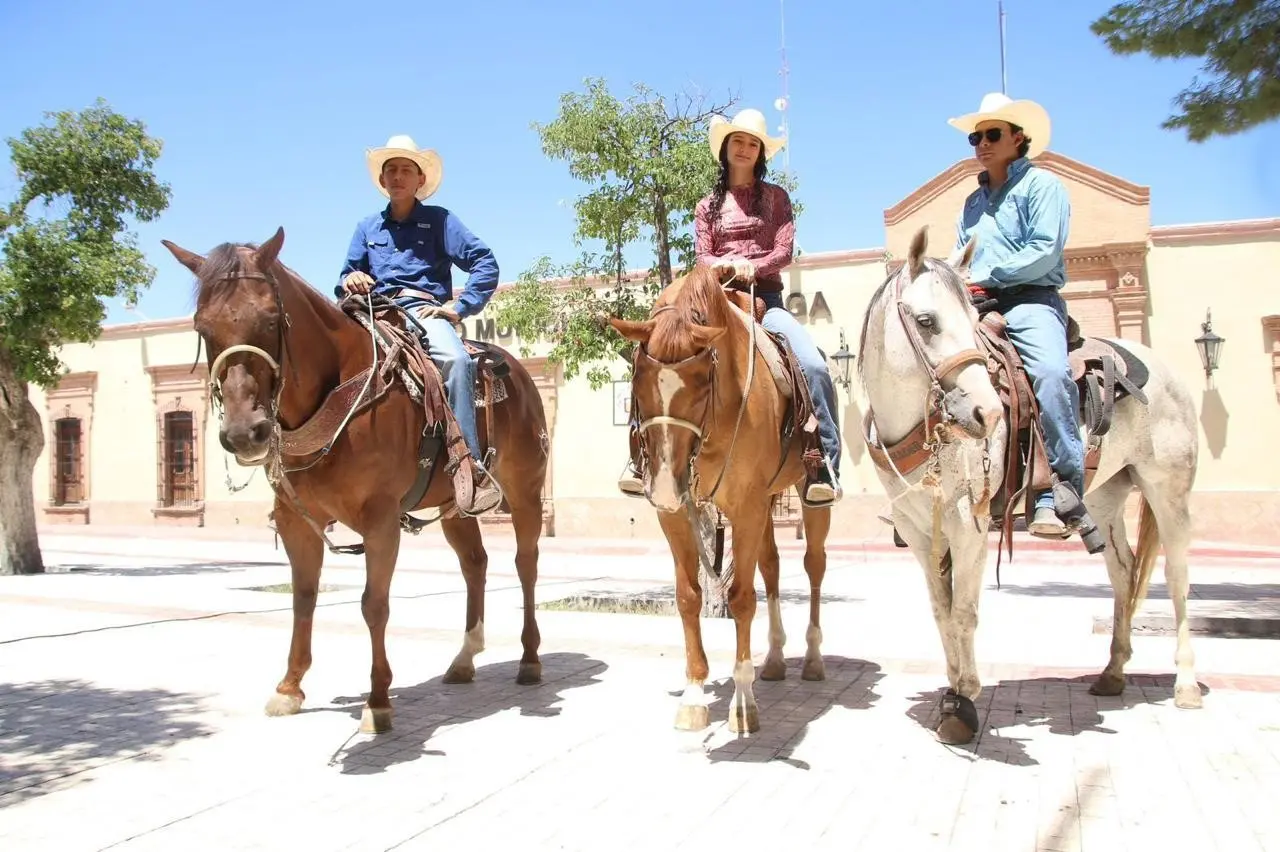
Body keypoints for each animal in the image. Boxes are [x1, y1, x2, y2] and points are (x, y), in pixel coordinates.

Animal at [161, 225, 550, 731]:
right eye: (202, 327)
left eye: (270, 319)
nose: (246, 432)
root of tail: (516, 372)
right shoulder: (295, 520)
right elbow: (303, 596)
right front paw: (289, 688)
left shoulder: (380, 520)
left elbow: (374, 604)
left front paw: (378, 700)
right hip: (455, 507)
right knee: (475, 564)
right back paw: (465, 659)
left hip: (525, 493)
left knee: (526, 565)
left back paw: (529, 660)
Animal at [611, 266, 834, 731]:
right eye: (638, 380)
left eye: (700, 384)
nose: (663, 484)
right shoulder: (679, 514)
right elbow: (689, 596)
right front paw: (695, 695)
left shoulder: (745, 509)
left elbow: (742, 599)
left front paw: (743, 703)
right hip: (766, 500)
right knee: (771, 566)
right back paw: (775, 659)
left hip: (805, 499)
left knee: (814, 567)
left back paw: (812, 659)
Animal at [860, 225, 1198, 741]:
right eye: (926, 320)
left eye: (970, 320)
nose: (986, 413)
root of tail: (1162, 369)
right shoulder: (919, 530)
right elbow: (941, 611)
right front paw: (951, 693)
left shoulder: (969, 524)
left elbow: (964, 611)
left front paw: (964, 699)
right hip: (1106, 496)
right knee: (1123, 571)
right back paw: (1112, 674)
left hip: (1169, 491)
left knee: (1177, 577)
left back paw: (1186, 685)